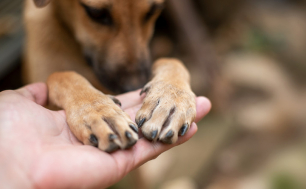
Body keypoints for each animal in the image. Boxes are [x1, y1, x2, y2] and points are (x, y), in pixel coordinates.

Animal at [23, 0, 196, 153]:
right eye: (96, 13)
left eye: (153, 11)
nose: (134, 87)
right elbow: (62, 75)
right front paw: (98, 111)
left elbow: (171, 60)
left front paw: (172, 96)